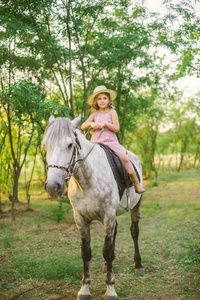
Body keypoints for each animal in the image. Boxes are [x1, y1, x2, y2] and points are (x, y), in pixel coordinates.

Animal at [42, 115, 145, 300]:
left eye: (70, 145)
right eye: (46, 145)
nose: (53, 186)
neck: (86, 181)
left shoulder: (108, 216)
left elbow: (108, 251)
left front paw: (110, 289)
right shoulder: (80, 218)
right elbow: (86, 252)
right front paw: (84, 289)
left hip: (136, 206)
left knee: (134, 231)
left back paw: (138, 264)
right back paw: (106, 267)